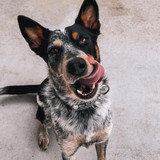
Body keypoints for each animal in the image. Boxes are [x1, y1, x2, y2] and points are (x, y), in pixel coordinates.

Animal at [0, 0, 112, 160]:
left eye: (83, 39)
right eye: (53, 50)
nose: (76, 65)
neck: (84, 108)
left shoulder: (103, 140)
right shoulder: (68, 151)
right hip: (45, 112)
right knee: (41, 121)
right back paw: (43, 137)